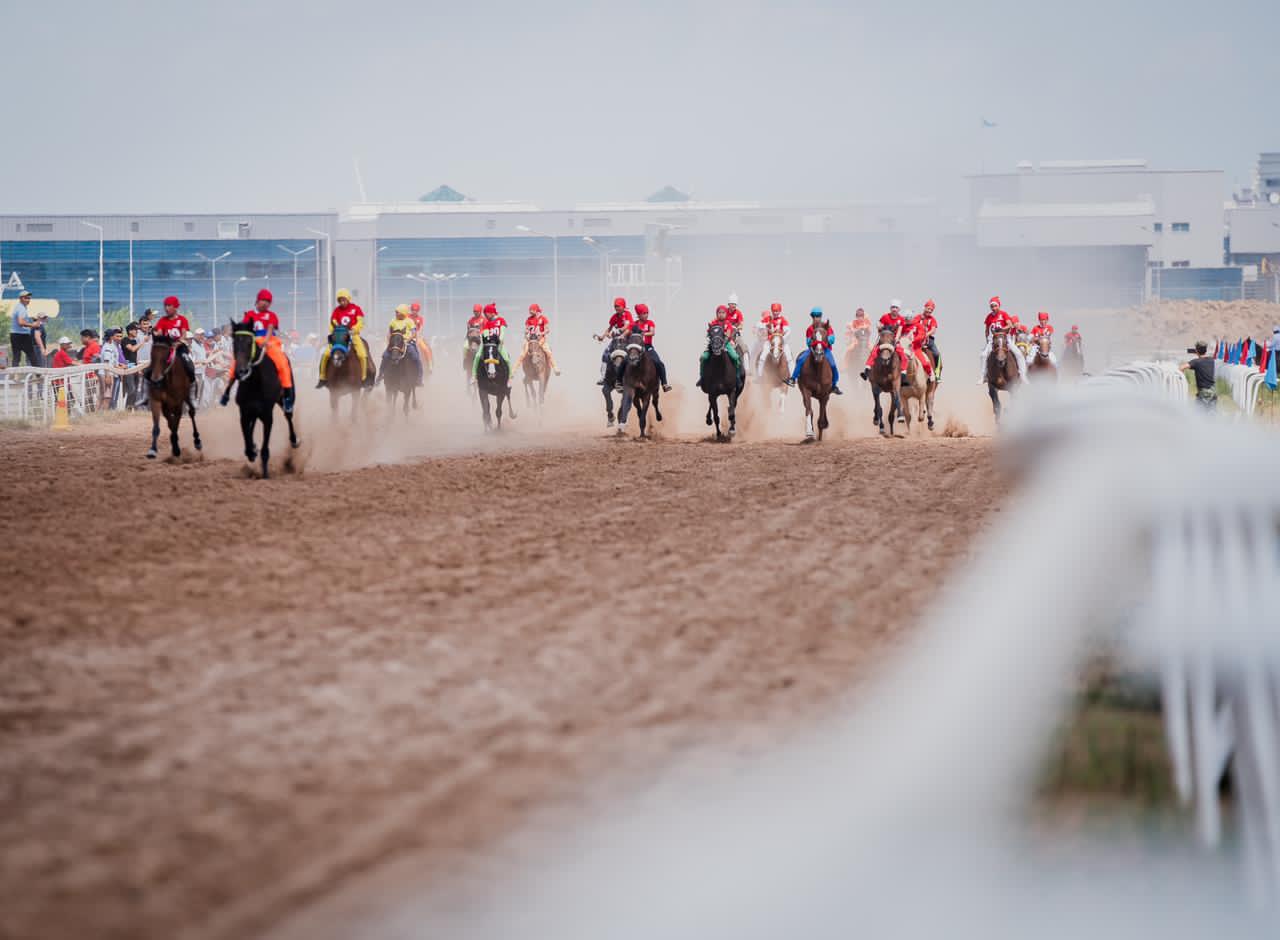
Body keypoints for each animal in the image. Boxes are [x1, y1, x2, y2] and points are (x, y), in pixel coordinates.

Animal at [229, 325, 298, 486]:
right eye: (234, 343)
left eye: (250, 343)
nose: (241, 371)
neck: (255, 382)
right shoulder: (244, 411)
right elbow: (247, 436)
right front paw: (251, 450)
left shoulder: (267, 414)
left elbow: (265, 447)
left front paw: (265, 473)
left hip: (285, 398)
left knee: (289, 416)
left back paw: (294, 440)